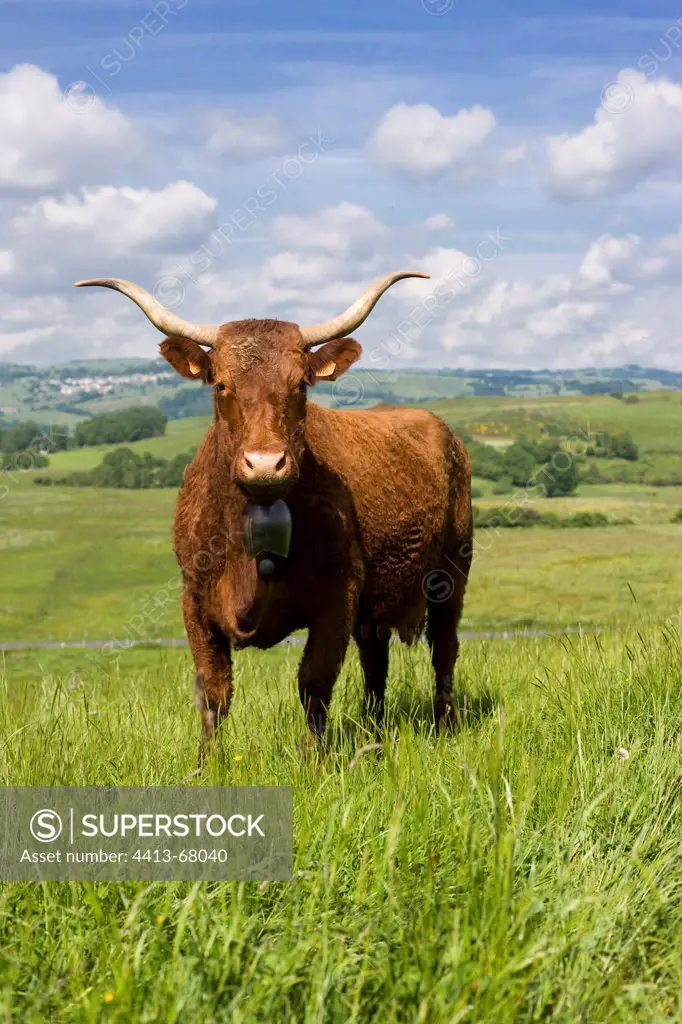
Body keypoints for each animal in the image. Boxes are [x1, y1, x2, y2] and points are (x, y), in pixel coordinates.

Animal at [73, 272, 466, 753]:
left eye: (300, 386)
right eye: (221, 384)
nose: (264, 464)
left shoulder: (338, 598)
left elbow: (314, 683)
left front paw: (314, 761)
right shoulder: (194, 600)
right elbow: (214, 690)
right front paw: (209, 762)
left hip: (452, 573)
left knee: (443, 649)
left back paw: (446, 726)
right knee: (376, 661)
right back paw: (372, 736)